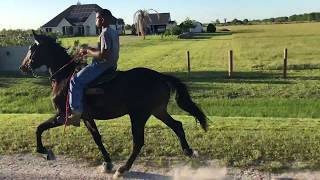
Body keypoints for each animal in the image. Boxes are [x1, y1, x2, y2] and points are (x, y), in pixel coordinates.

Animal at [19, 31, 208, 177]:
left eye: (32, 49)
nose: (23, 67)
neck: (64, 77)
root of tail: (160, 76)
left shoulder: (63, 115)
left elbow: (40, 128)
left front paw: (44, 151)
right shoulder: (86, 117)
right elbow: (97, 138)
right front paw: (107, 163)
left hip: (139, 115)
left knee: (138, 141)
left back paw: (123, 169)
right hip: (158, 111)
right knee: (177, 126)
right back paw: (189, 151)